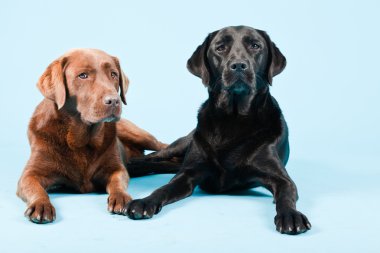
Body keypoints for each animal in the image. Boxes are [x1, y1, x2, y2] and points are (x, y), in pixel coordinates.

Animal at [16, 49, 165, 223]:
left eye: (113, 74)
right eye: (83, 75)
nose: (114, 101)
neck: (79, 141)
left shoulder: (116, 168)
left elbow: (117, 182)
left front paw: (121, 197)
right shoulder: (29, 174)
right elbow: (36, 189)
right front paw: (41, 205)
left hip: (141, 136)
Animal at [126, 26, 310, 235]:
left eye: (255, 46)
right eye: (220, 47)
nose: (238, 66)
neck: (233, 120)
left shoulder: (281, 179)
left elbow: (286, 195)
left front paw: (291, 215)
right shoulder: (187, 174)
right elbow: (163, 188)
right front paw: (144, 202)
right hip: (183, 143)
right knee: (154, 156)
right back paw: (130, 164)